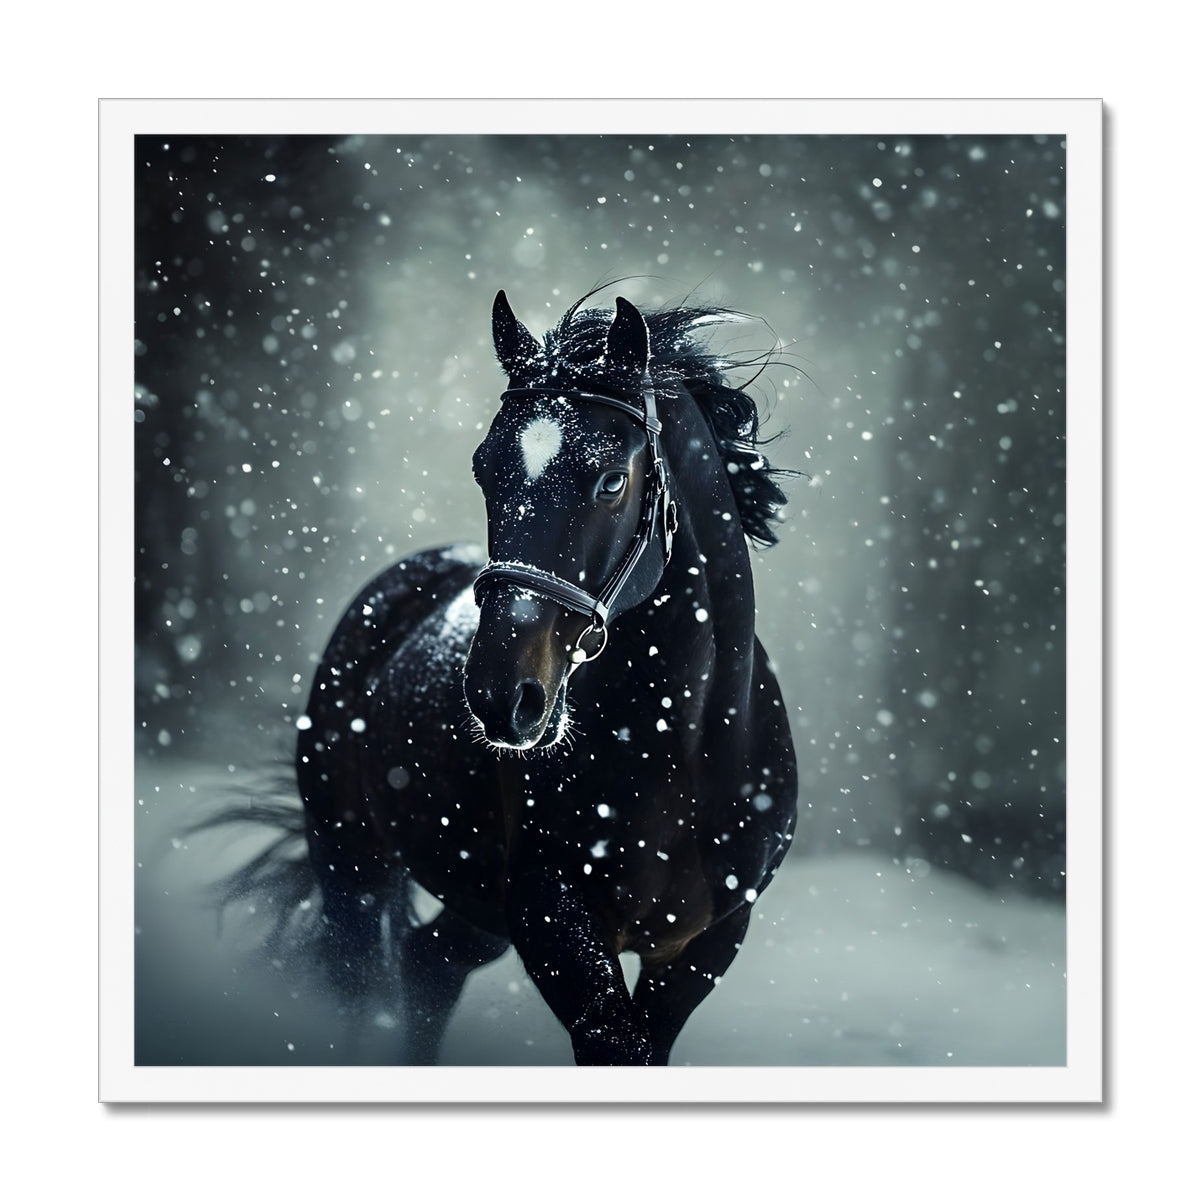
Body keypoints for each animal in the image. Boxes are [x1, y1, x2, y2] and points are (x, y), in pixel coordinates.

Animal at [295, 288, 798, 1065]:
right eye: (484, 469)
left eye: (612, 478)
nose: (500, 698)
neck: (680, 751)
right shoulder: (548, 916)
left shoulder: (705, 944)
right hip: (350, 859)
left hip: (471, 905)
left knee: (429, 964)